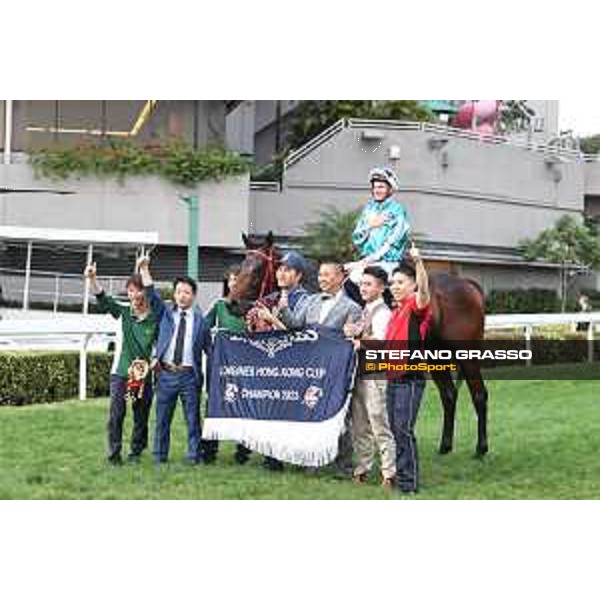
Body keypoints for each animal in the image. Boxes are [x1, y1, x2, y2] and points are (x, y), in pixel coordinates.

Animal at [232, 232, 490, 458]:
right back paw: (445, 446)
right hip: (435, 355)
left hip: (466, 354)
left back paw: (481, 448)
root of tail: (468, 285)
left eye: (257, 268)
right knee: (449, 394)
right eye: (241, 264)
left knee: (479, 394)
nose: (233, 302)